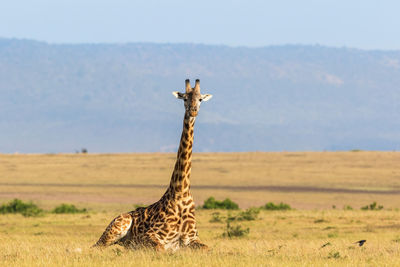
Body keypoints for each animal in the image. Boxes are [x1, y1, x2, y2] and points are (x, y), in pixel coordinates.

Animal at [93, 78, 212, 252]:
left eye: (201, 99)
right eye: (184, 98)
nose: (193, 111)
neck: (181, 192)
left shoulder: (192, 238)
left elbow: (208, 248)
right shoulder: (149, 236)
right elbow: (160, 248)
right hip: (116, 228)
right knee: (96, 246)